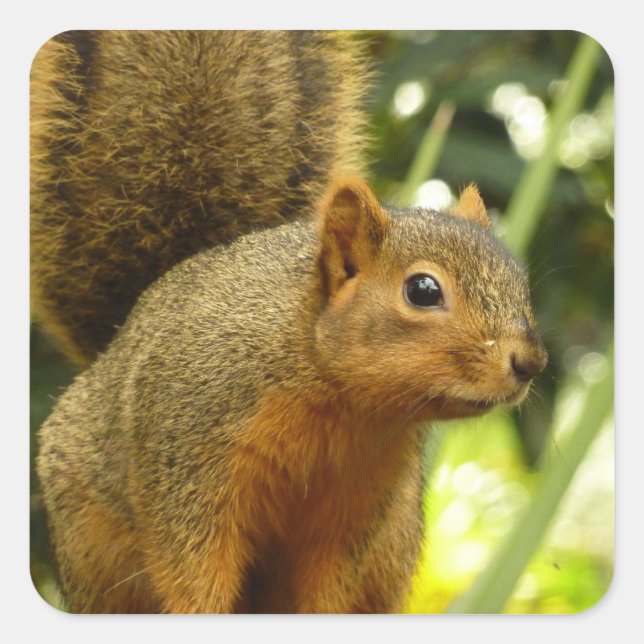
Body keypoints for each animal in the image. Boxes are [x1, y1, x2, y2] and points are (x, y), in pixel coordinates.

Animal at [32, 31, 548, 614]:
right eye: (422, 290)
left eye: (519, 280)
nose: (530, 362)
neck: (336, 398)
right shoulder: (187, 454)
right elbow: (191, 567)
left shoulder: (358, 507)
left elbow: (330, 584)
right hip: (90, 542)